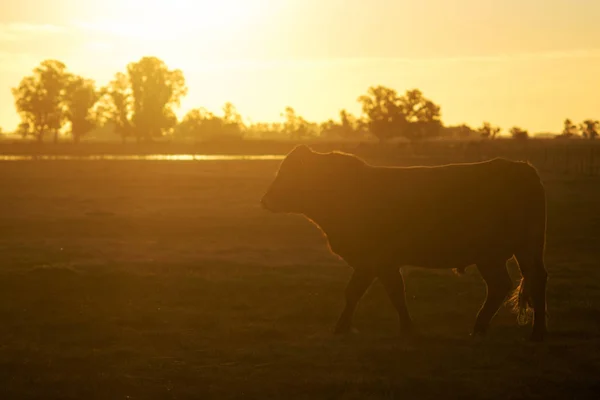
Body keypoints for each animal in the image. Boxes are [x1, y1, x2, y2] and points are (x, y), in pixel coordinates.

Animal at [260, 145, 552, 342]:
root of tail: (521, 168)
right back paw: (490, 329)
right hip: (504, 253)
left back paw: (528, 332)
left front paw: (343, 327)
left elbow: (359, 292)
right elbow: (390, 293)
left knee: (523, 283)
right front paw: (405, 327)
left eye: (288, 174)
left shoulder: (373, 260)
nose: (265, 200)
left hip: (509, 251)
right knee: (510, 284)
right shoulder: (382, 263)